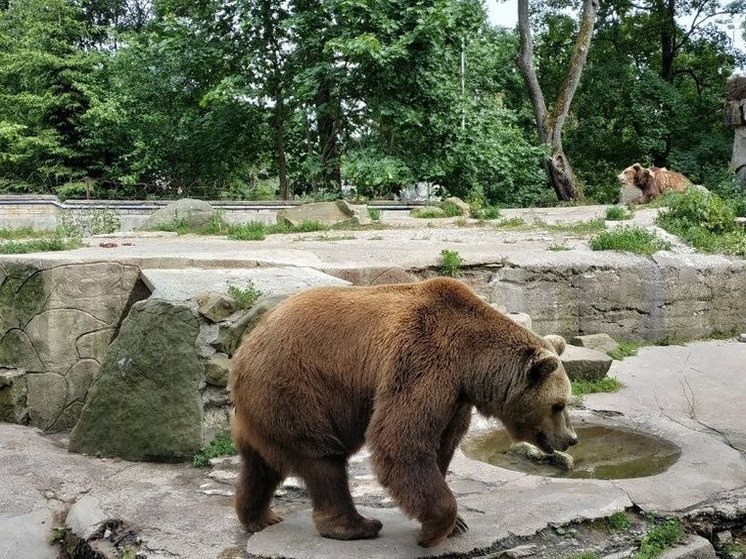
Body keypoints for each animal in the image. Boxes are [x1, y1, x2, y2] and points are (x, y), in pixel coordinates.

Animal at [230, 278, 580, 548]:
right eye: (559, 404)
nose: (571, 438)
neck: (470, 363)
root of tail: (245, 346)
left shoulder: (455, 398)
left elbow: (441, 446)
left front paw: (456, 524)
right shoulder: (423, 359)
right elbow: (400, 440)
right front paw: (434, 530)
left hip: (263, 407)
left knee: (260, 465)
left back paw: (260, 517)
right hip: (297, 388)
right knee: (323, 460)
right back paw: (357, 525)